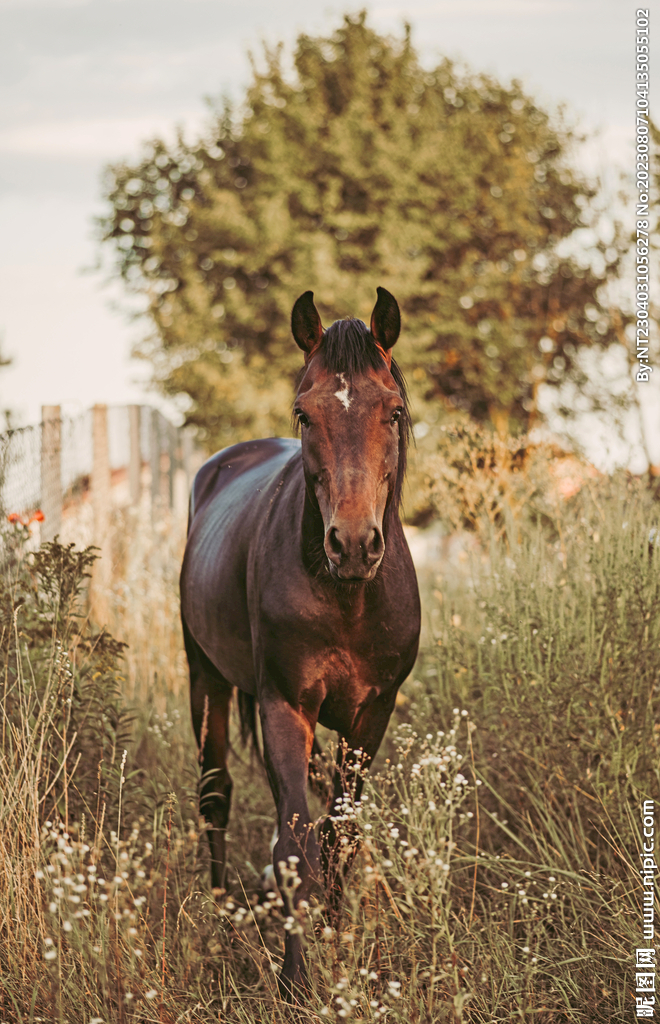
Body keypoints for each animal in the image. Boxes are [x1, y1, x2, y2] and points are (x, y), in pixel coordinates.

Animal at [180, 287, 421, 1000]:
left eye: (394, 411)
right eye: (303, 414)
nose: (353, 544)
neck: (348, 596)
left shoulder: (372, 716)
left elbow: (341, 836)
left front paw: (338, 941)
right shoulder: (285, 706)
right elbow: (294, 846)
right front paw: (294, 979)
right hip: (205, 678)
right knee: (215, 794)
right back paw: (221, 916)